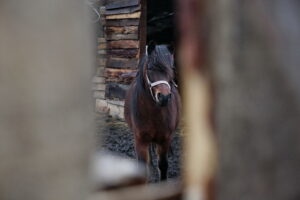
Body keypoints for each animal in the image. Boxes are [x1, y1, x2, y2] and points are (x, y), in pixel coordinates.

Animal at [124, 43, 180, 180]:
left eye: (172, 68)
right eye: (150, 68)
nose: (164, 97)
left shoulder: (165, 140)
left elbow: (163, 166)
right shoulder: (140, 141)